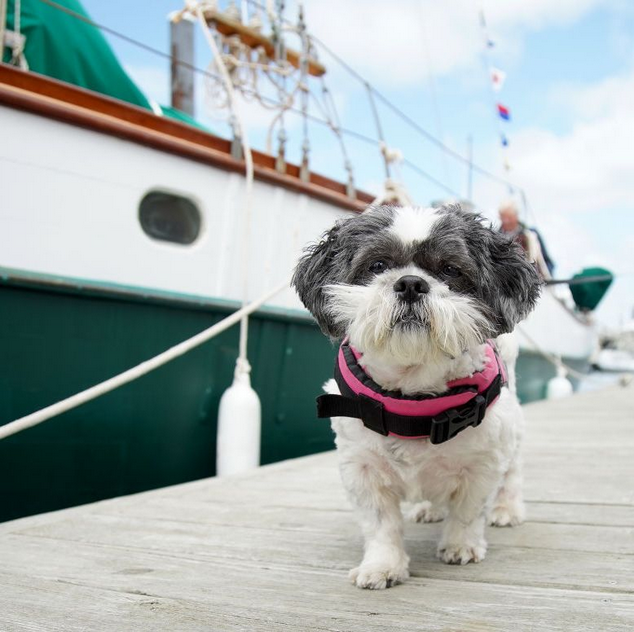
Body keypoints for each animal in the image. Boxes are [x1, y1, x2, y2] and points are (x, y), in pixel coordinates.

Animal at [292, 205, 540, 592]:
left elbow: (468, 511)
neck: (413, 395)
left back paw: (507, 509)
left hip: (512, 436)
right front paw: (382, 565)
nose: (410, 283)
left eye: (450, 270)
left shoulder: (483, 462)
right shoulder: (362, 468)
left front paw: (461, 545)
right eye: (377, 265)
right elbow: (380, 524)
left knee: (512, 474)